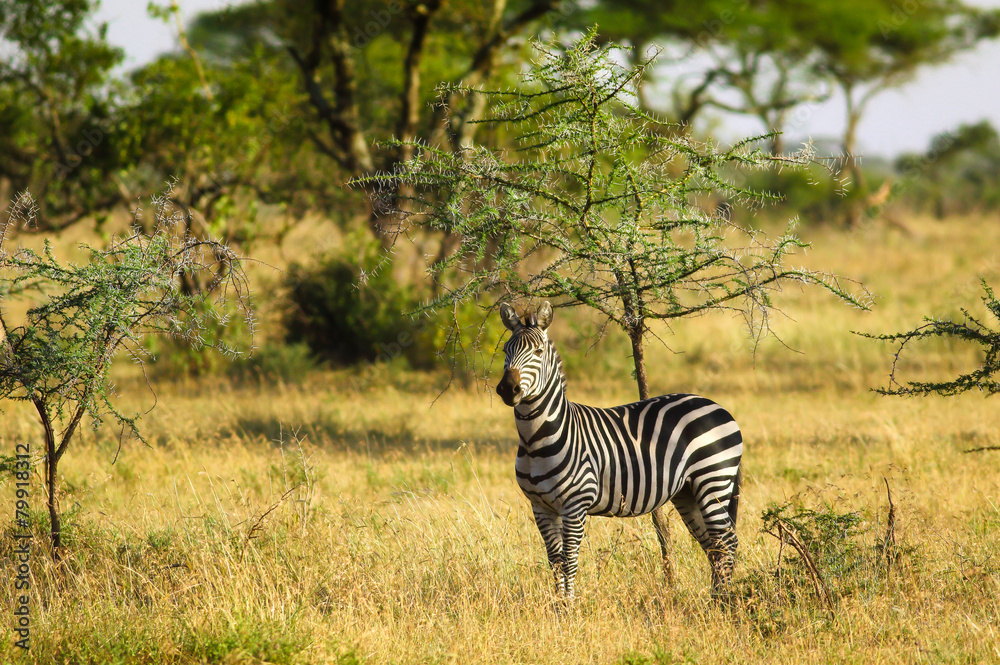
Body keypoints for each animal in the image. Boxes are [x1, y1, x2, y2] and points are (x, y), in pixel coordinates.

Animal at [495, 301, 743, 599]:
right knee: (713, 546)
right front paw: (557, 605)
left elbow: (569, 561)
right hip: (688, 491)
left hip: (713, 480)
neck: (536, 440)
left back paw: (724, 602)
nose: (507, 389)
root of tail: (716, 405)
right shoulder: (541, 507)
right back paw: (715, 600)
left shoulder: (575, 505)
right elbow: (554, 561)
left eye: (538, 352)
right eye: (505, 351)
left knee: (726, 542)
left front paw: (569, 607)